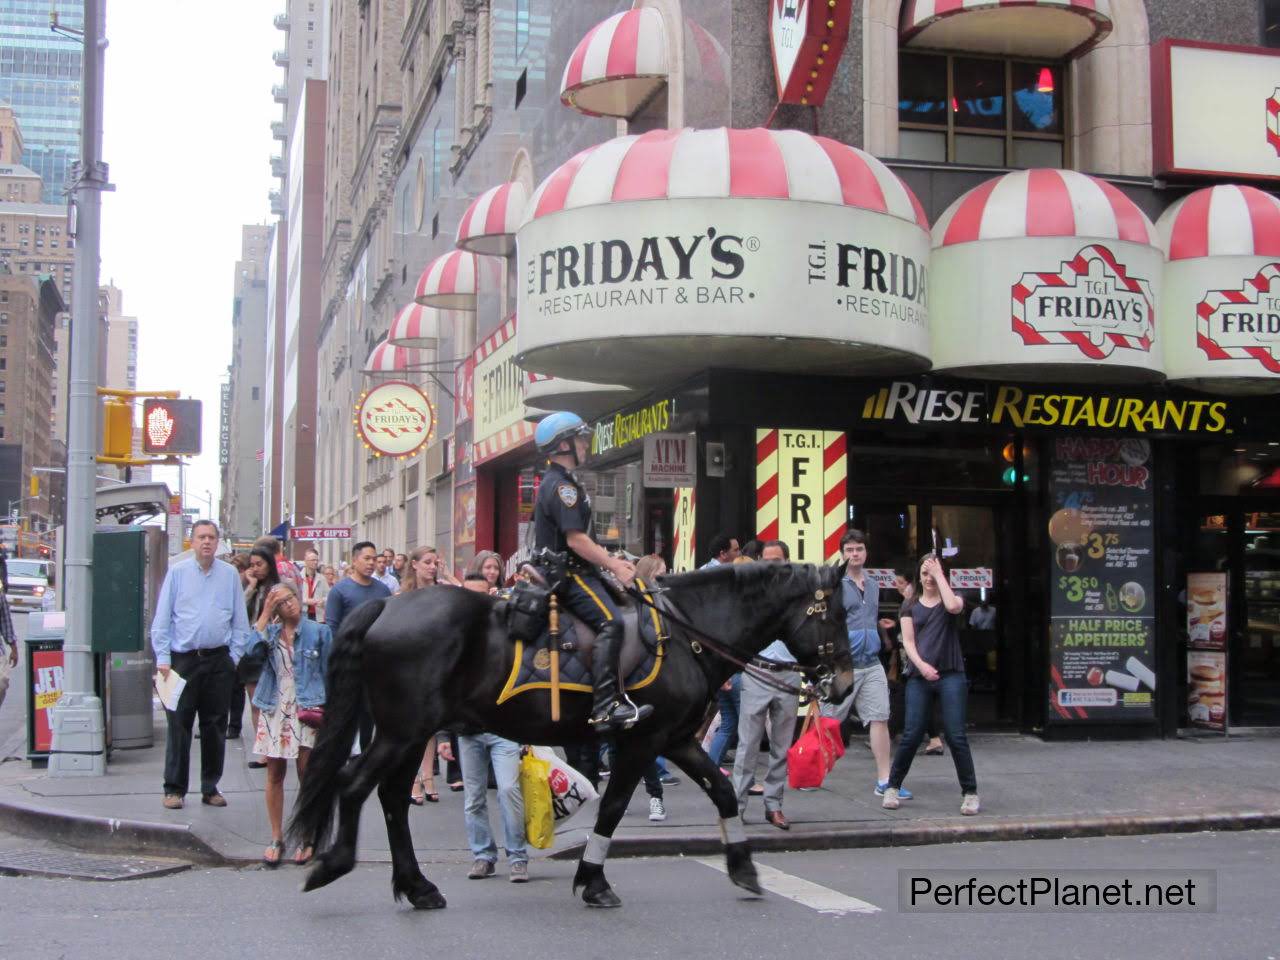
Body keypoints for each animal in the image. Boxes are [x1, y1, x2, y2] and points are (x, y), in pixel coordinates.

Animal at [289, 560, 849, 911]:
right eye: (837, 614)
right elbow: (614, 807)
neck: (687, 632)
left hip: (410, 733)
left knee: (390, 799)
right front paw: (593, 881)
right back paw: (333, 865)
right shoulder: (642, 740)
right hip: (404, 732)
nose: (843, 682)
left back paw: (418, 887)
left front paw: (744, 867)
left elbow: (724, 789)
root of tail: (388, 606)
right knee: (355, 786)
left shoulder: (676, 738)